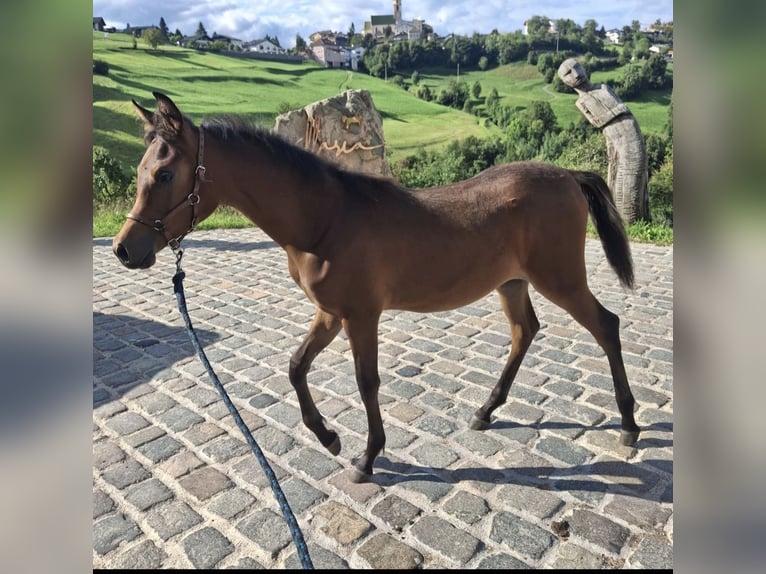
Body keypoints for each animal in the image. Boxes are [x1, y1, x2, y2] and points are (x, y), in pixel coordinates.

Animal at [113, 91, 641, 483]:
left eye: (165, 173)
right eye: (140, 171)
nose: (124, 250)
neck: (325, 218)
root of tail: (568, 176)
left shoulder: (361, 316)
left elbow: (366, 381)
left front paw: (367, 457)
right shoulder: (330, 312)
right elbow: (296, 366)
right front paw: (328, 437)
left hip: (561, 280)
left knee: (607, 326)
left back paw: (629, 424)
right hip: (512, 284)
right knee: (525, 332)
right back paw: (486, 411)